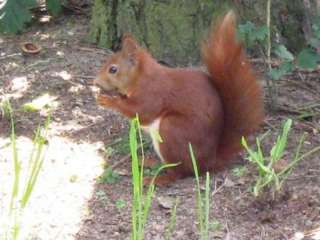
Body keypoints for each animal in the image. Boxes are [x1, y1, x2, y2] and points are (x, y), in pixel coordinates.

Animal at [94, 11, 264, 186]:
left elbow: (141, 112)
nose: (95, 82)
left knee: (179, 172)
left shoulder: (153, 93)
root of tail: (208, 161)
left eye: (113, 69)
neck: (141, 77)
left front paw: (108, 100)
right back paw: (149, 162)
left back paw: (158, 178)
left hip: (171, 130)